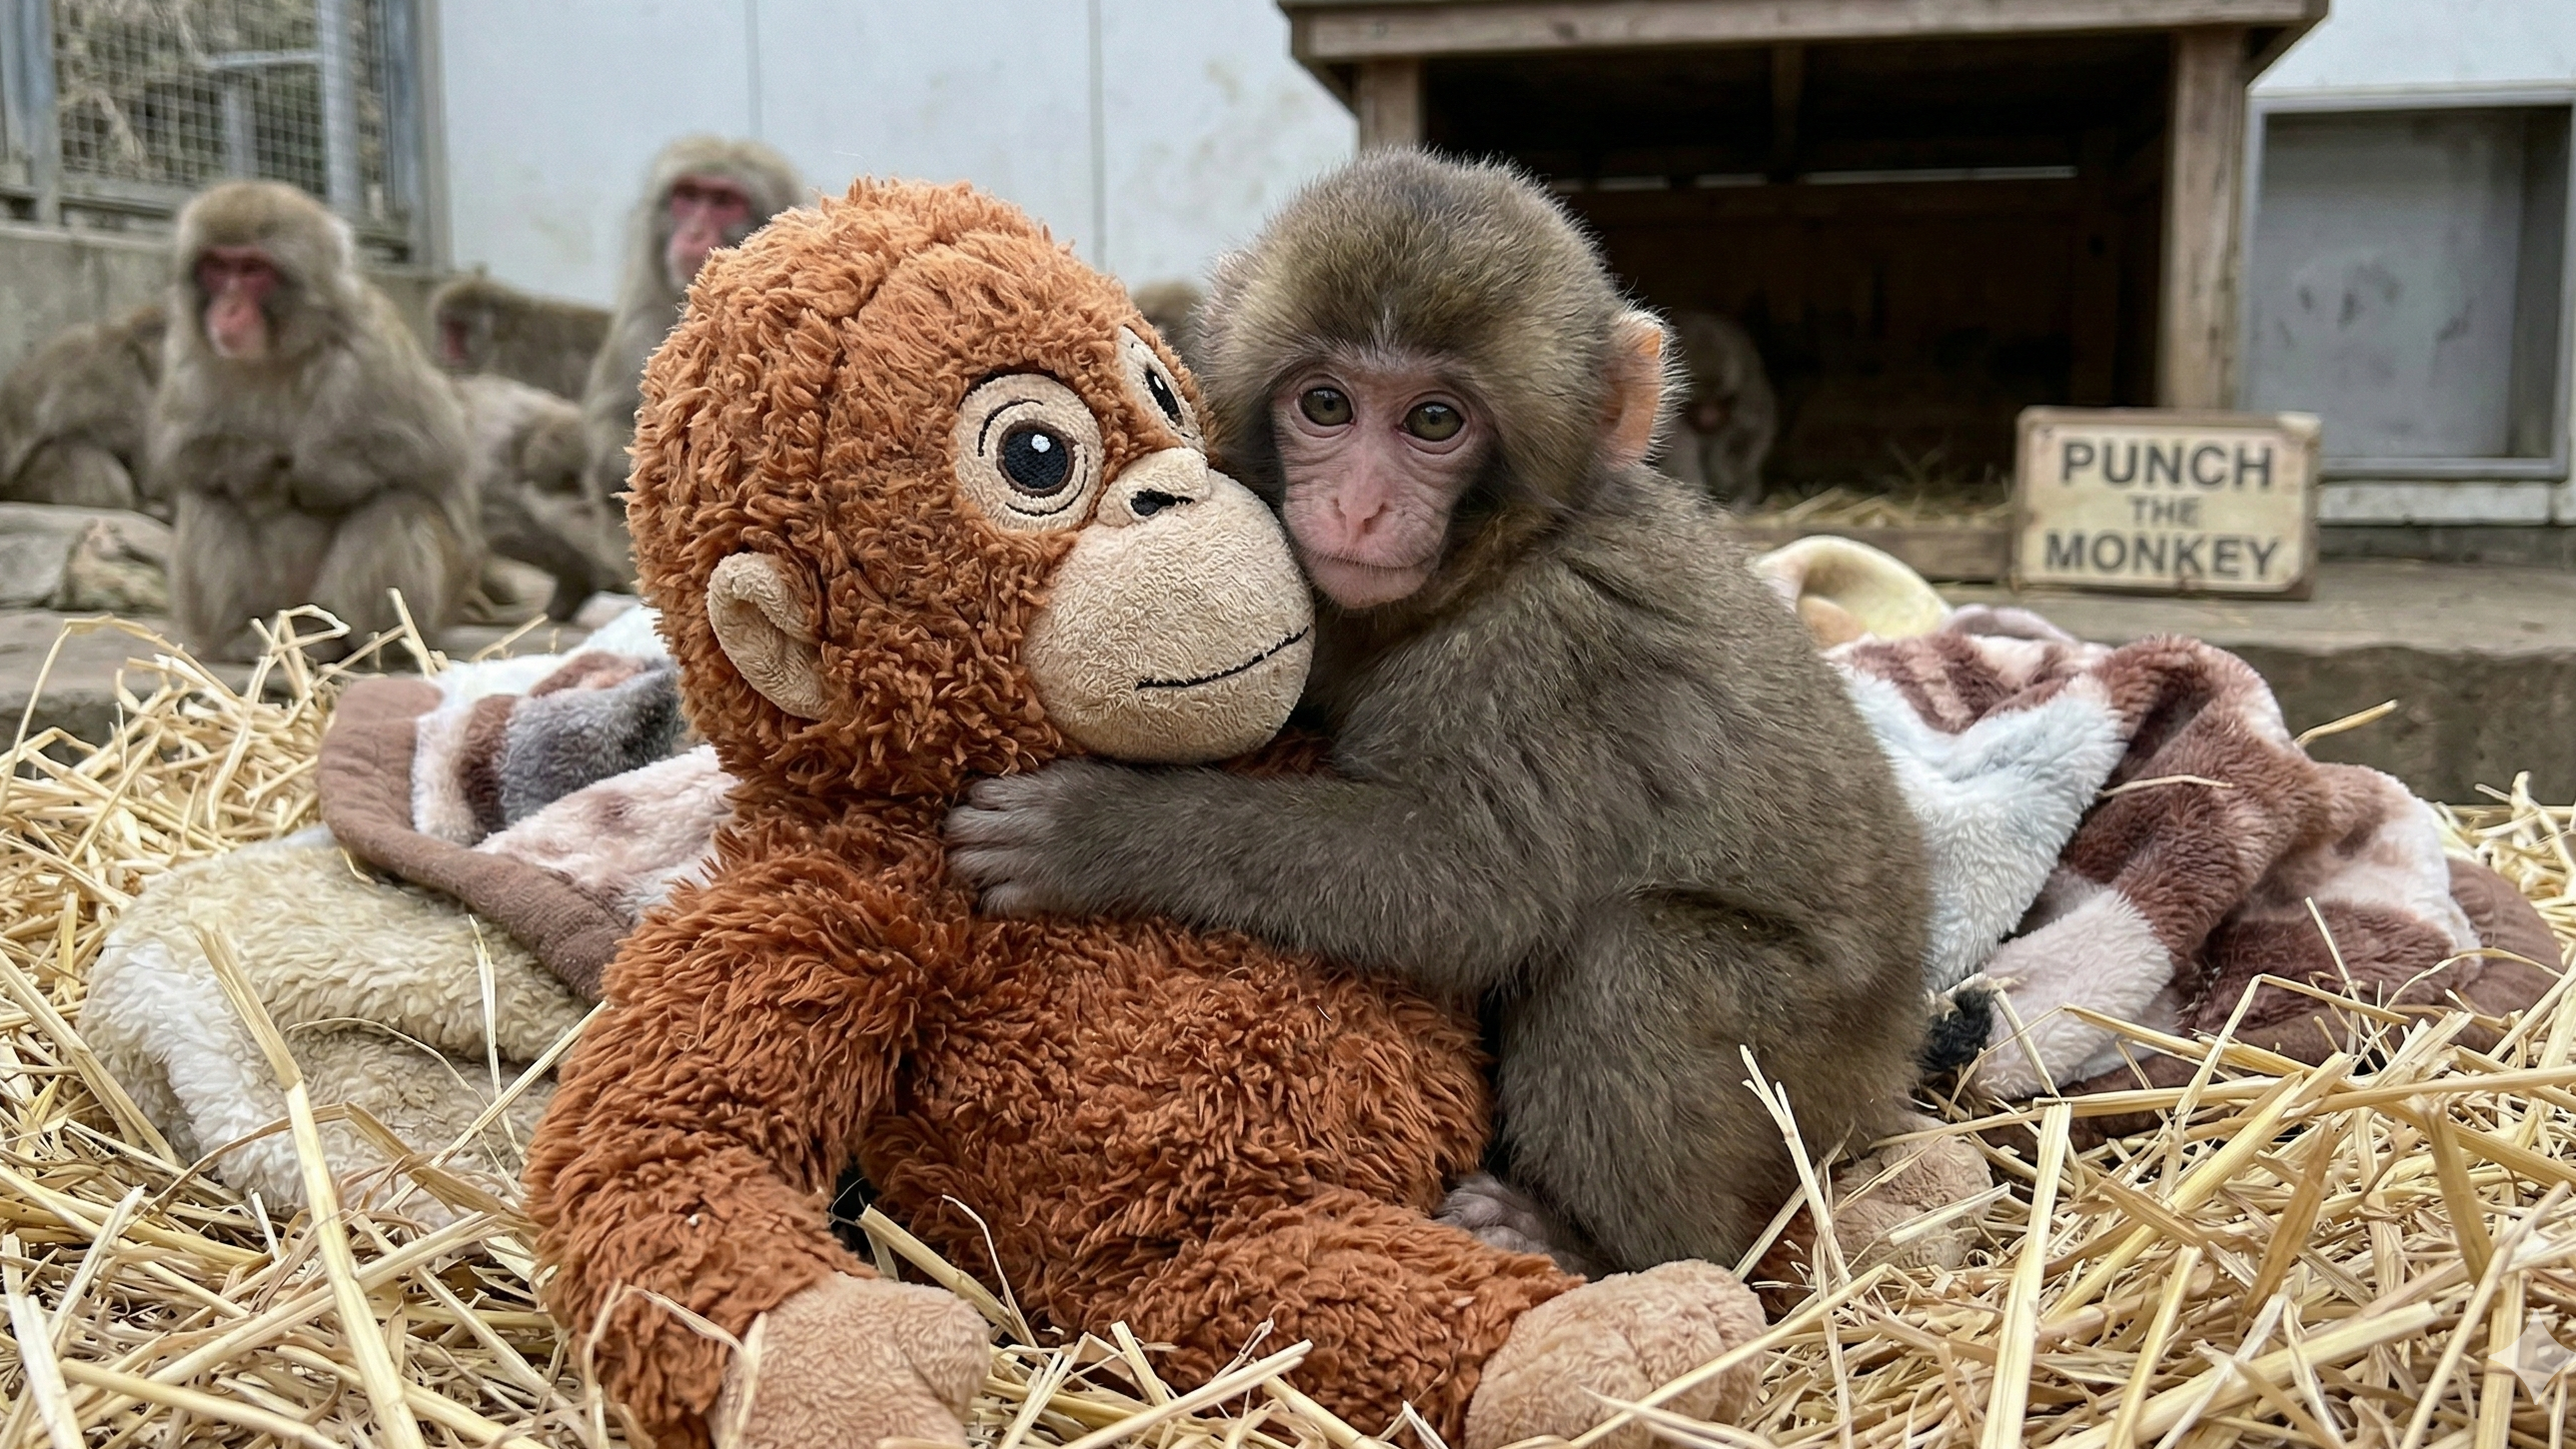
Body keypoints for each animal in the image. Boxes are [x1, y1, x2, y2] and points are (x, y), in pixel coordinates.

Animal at [150, 180, 479, 662]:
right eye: (217, 266)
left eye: (252, 269)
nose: (227, 308)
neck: (277, 354)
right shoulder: (186, 348)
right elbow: (179, 454)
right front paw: (254, 467)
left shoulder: (371, 344)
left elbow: (436, 453)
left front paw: (318, 471)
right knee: (206, 496)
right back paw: (245, 637)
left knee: (395, 503)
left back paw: (360, 643)